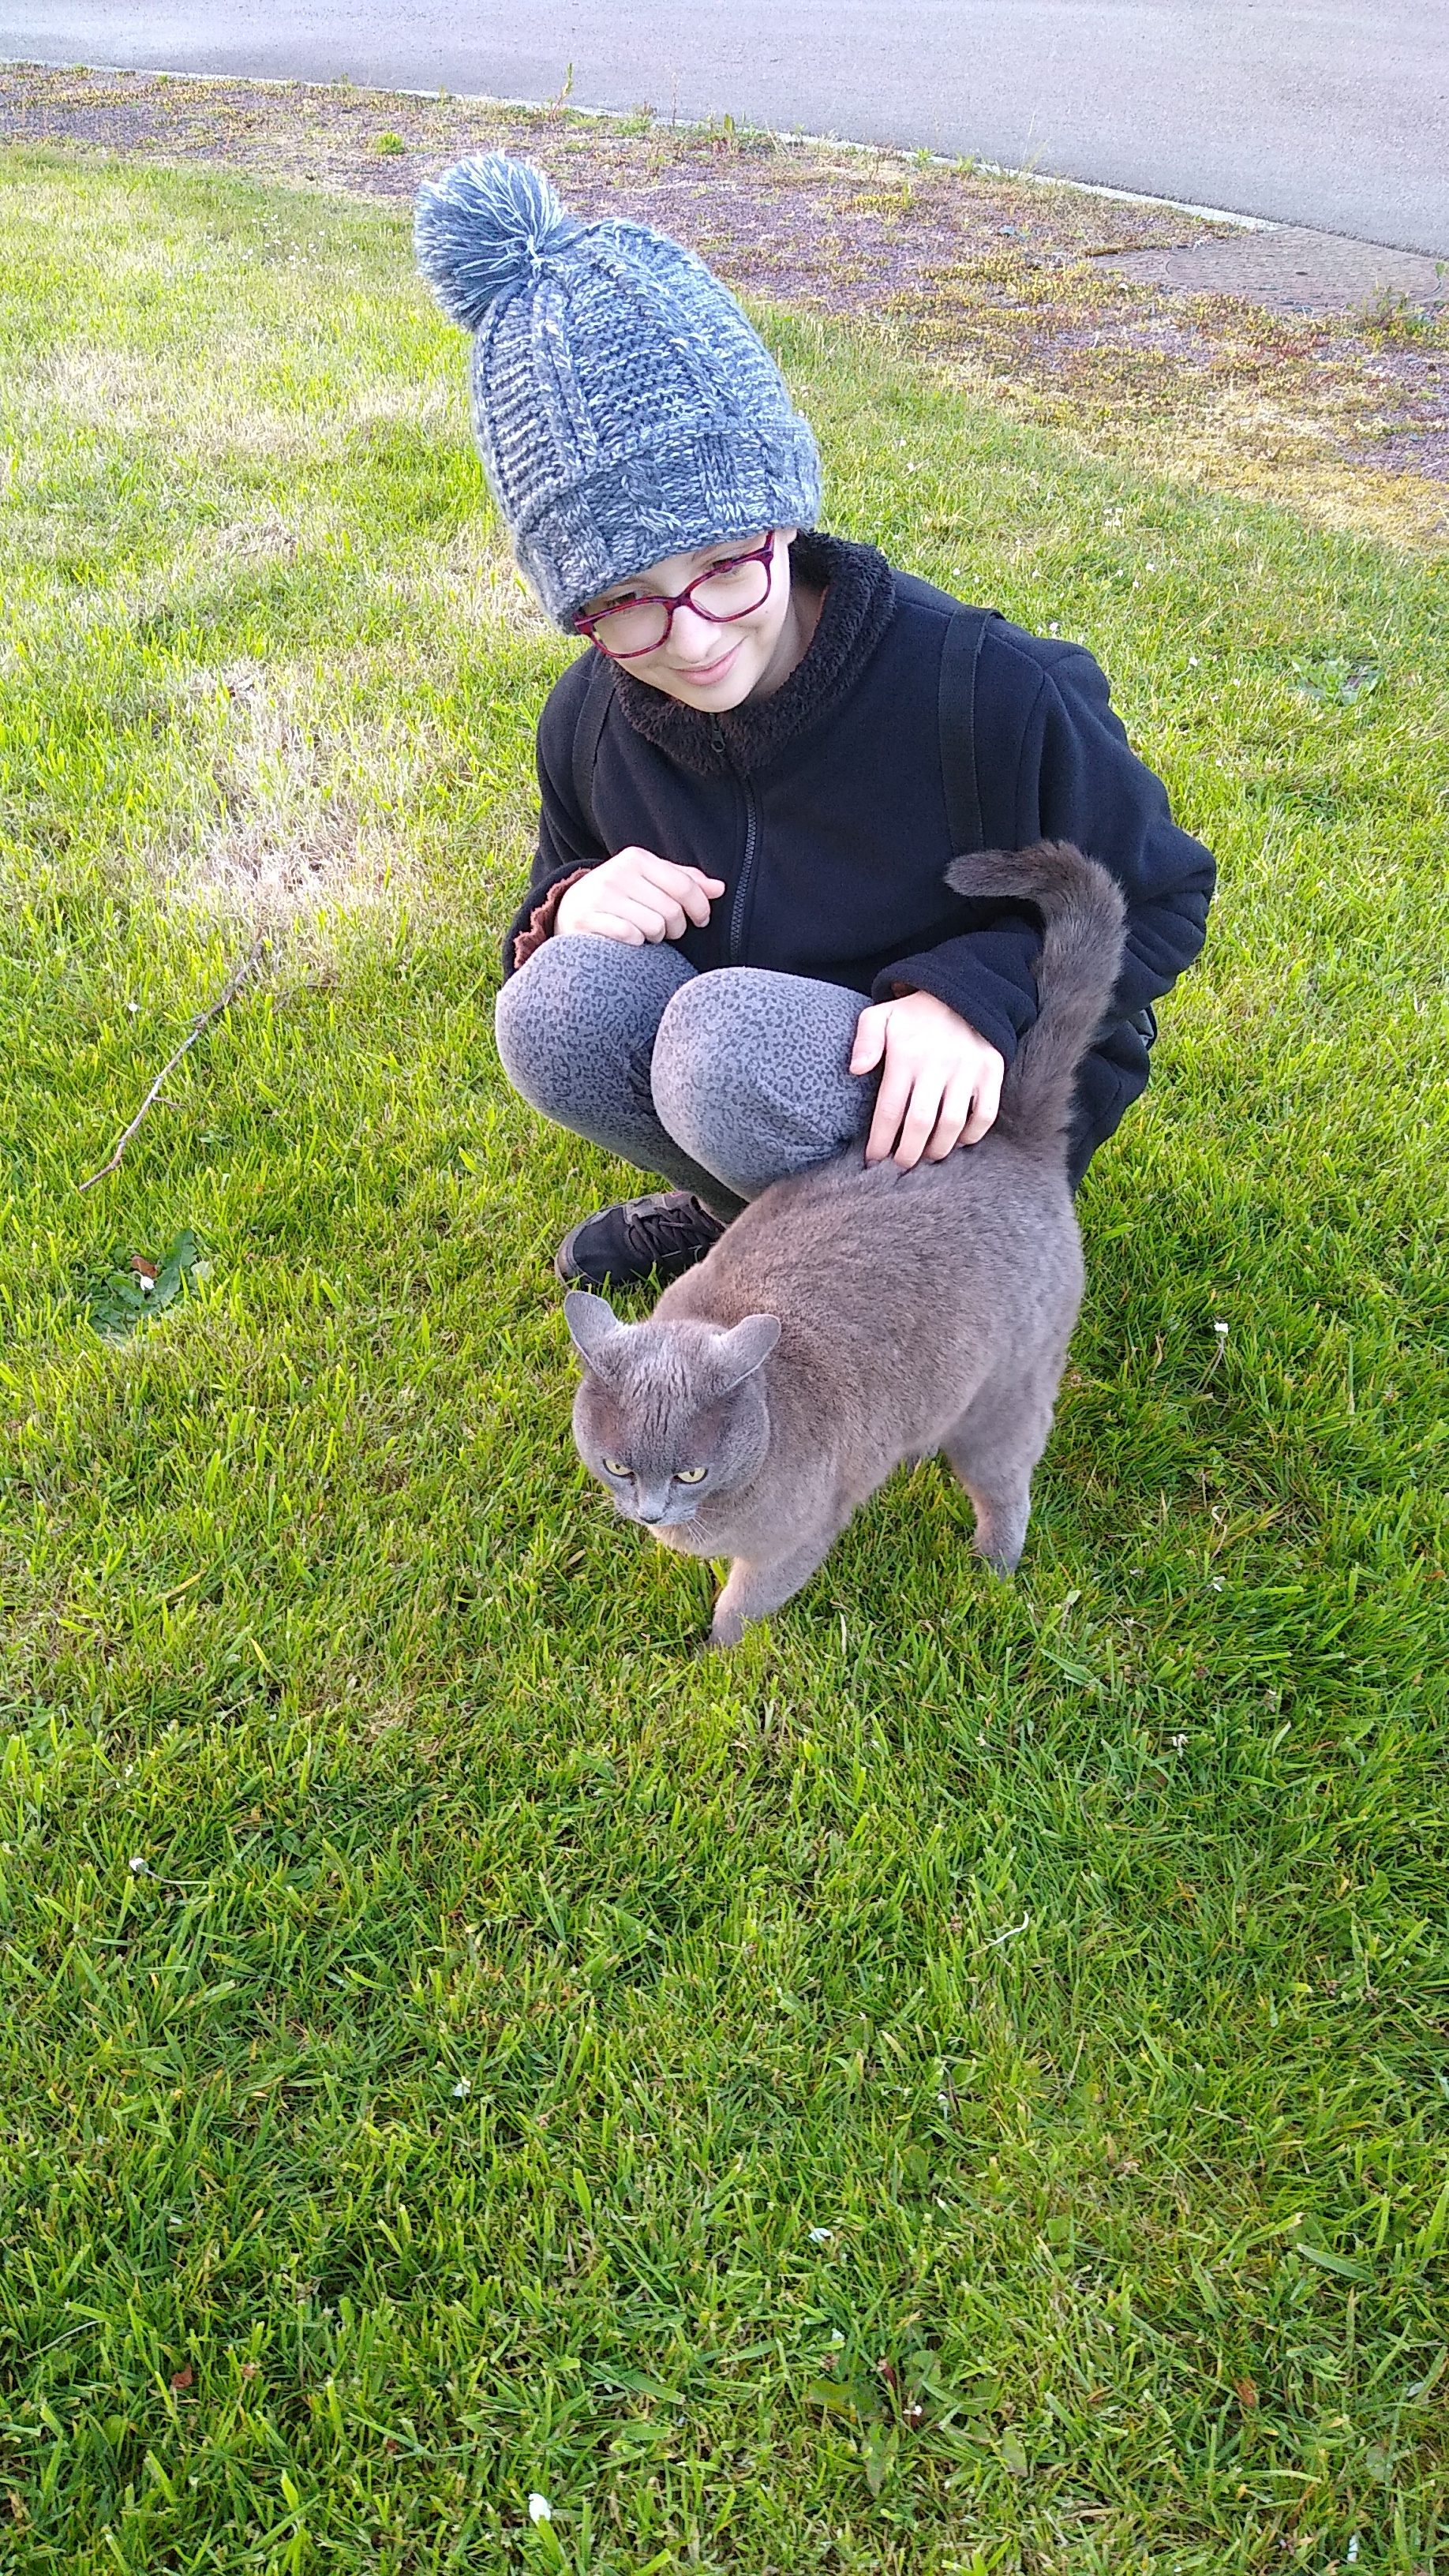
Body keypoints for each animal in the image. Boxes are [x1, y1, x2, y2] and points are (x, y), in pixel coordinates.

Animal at [565, 841, 1126, 1647]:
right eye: (616, 1465)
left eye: (691, 1473)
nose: (650, 1512)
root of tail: (1012, 1133)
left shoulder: (792, 1544)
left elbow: (744, 1606)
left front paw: (712, 1656)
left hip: (1011, 1389)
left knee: (1006, 1484)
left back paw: (990, 1573)